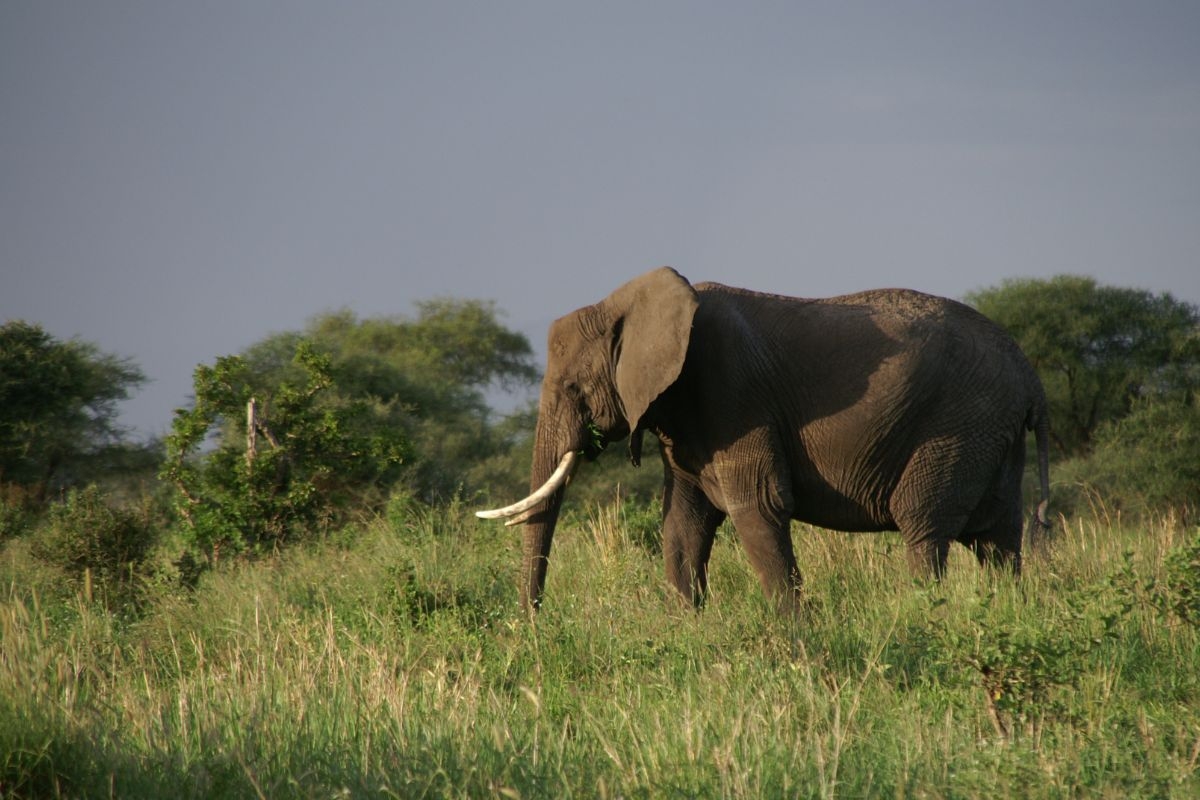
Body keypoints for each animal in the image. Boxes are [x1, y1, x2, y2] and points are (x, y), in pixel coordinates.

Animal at [477, 266, 1051, 609]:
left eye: (573, 388)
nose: (533, 624)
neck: (630, 302)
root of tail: (1030, 375)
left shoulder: (732, 394)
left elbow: (759, 506)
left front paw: (793, 632)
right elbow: (682, 523)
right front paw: (687, 628)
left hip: (956, 426)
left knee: (924, 527)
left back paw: (921, 613)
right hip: (990, 433)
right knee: (998, 537)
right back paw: (1006, 611)